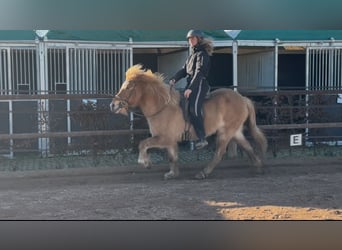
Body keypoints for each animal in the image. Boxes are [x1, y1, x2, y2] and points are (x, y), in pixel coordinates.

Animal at [109, 64, 268, 180]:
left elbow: (143, 144)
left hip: (226, 132)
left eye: (128, 87)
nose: (113, 105)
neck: (162, 107)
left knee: (219, 152)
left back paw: (203, 172)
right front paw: (172, 173)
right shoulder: (170, 141)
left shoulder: (164, 138)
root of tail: (243, 99)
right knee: (248, 147)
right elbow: (172, 157)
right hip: (235, 131)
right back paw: (258, 167)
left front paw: (145, 162)